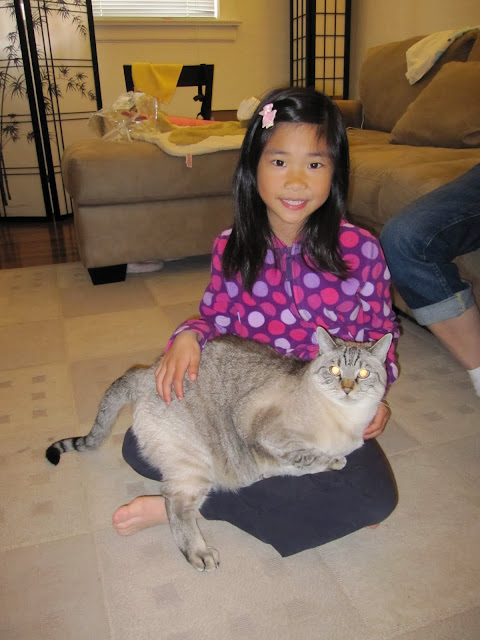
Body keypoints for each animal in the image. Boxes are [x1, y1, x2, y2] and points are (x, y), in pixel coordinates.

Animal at [46, 326, 392, 571]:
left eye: (363, 374)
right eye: (335, 371)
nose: (347, 389)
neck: (346, 421)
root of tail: (145, 372)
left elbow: (299, 463)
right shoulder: (260, 426)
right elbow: (306, 455)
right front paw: (331, 459)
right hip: (196, 465)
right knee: (174, 504)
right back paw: (197, 553)